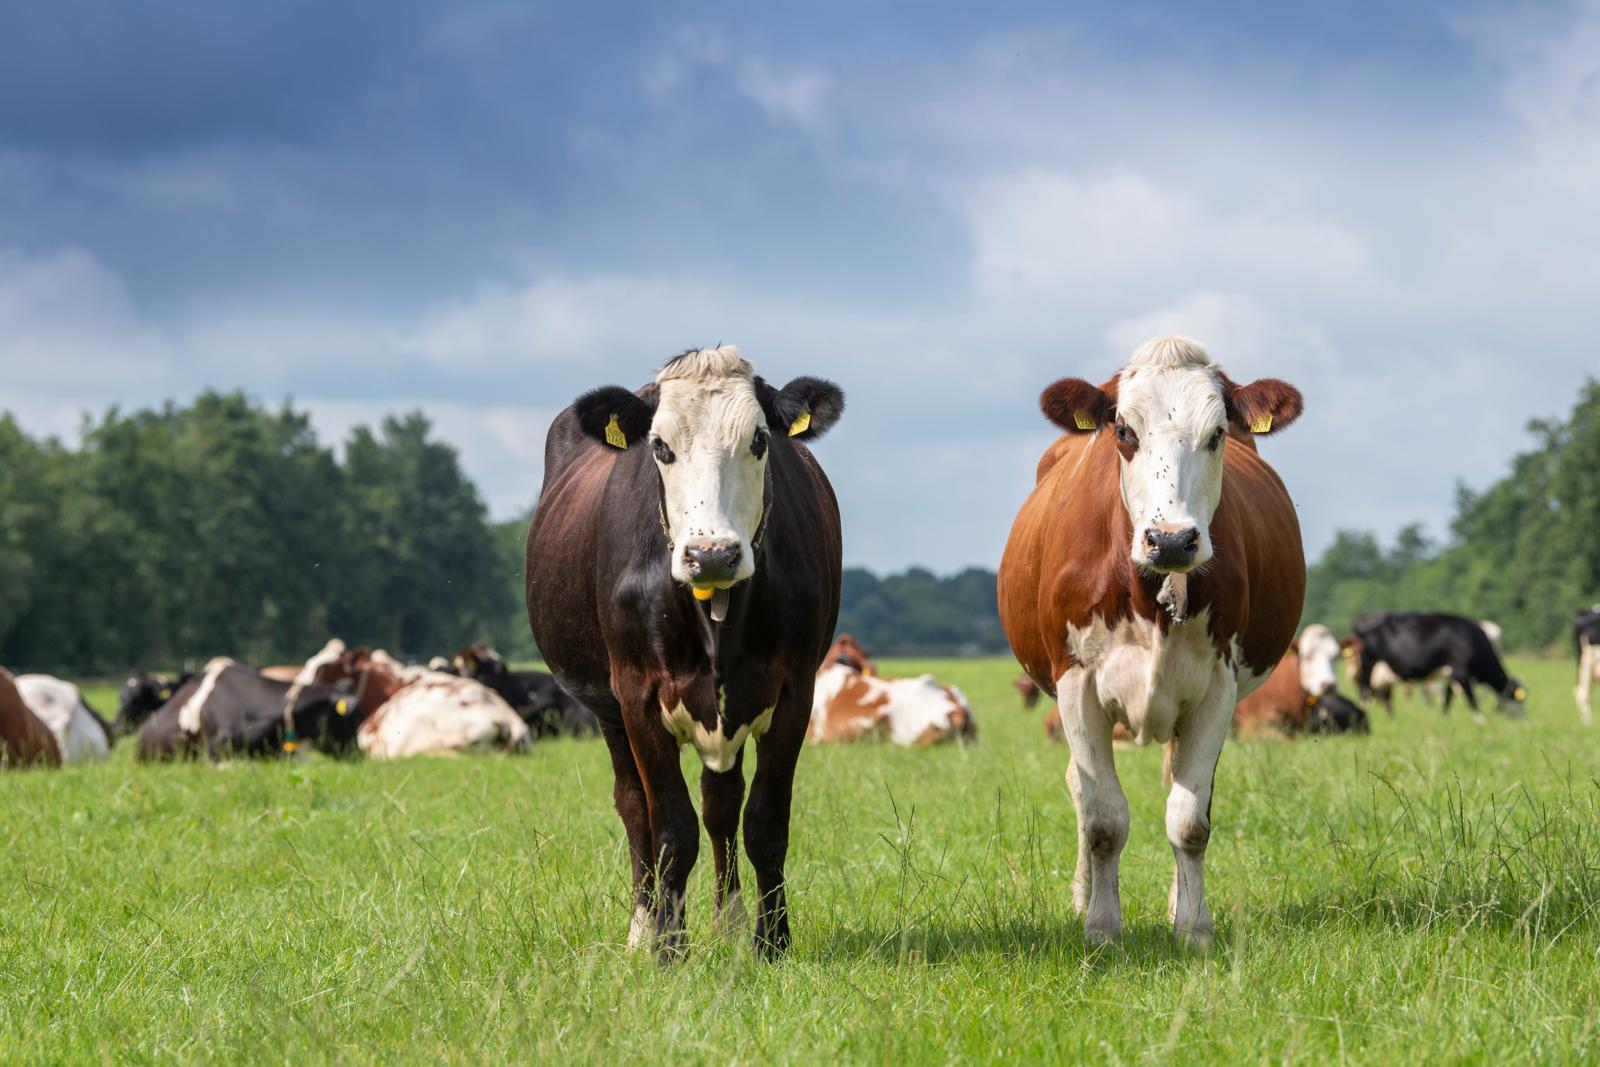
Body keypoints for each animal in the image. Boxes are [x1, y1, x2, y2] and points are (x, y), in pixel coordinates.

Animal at [528, 343, 851, 959]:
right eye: (660, 446)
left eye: (759, 440)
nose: (712, 554)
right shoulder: (637, 694)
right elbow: (671, 828)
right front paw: (668, 948)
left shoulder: (794, 690)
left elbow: (764, 823)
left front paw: (772, 943)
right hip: (607, 710)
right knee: (635, 808)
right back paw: (642, 927)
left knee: (721, 803)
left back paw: (728, 923)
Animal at [992, 335, 1305, 953]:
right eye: (1124, 431)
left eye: (1217, 433)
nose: (1172, 539)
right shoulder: (1076, 685)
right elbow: (1103, 820)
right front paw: (1101, 927)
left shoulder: (1217, 688)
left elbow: (1190, 819)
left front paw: (1193, 926)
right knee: (1080, 790)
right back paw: (1085, 894)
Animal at [1350, 614, 1523, 723]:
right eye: (1519, 699)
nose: (1523, 719)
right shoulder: (1461, 671)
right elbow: (1471, 698)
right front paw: (1480, 719)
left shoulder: (1452, 673)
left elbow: (1448, 697)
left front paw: (1445, 717)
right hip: (1368, 663)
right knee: (1365, 690)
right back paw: (1366, 714)